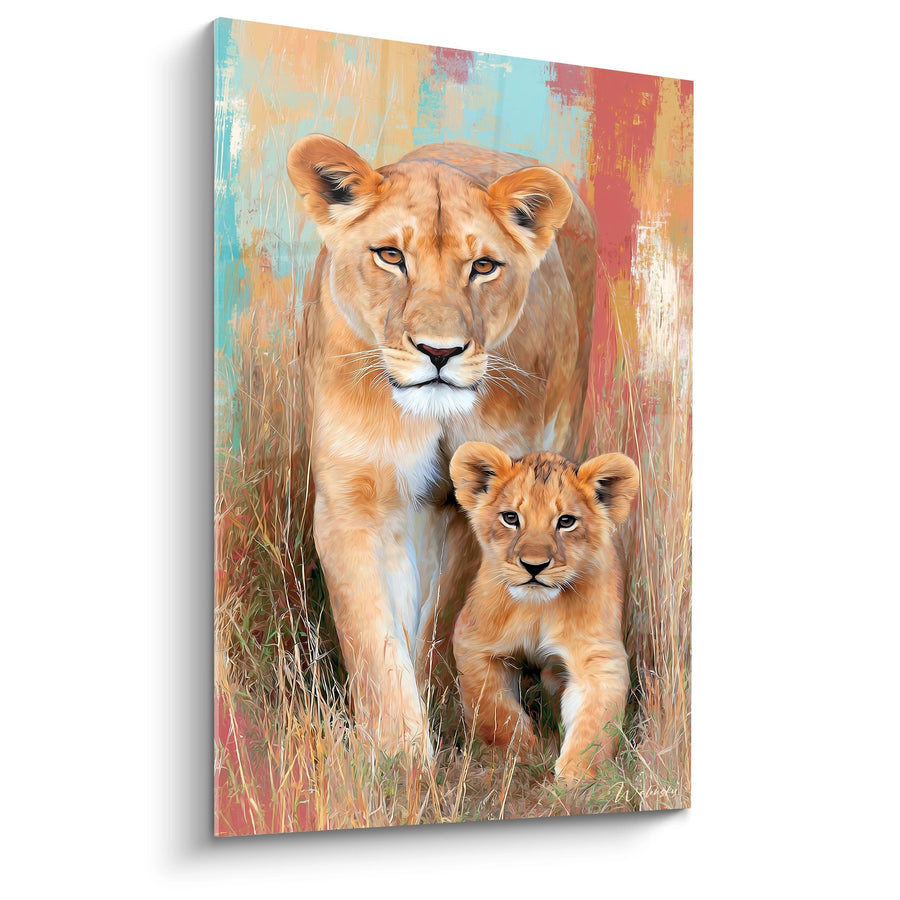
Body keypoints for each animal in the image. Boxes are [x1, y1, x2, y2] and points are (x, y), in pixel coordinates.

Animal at [287, 135, 596, 756]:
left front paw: (442, 708)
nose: (439, 351)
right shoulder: (352, 500)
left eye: (483, 266)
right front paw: (397, 753)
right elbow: (371, 632)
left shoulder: (481, 506)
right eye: (390, 256)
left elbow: (442, 617)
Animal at [449, 442, 638, 783]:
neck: (538, 609)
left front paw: (577, 776)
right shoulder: (474, 642)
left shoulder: (599, 657)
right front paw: (518, 756)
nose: (533, 566)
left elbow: (594, 719)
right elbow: (495, 711)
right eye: (511, 518)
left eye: (566, 521)